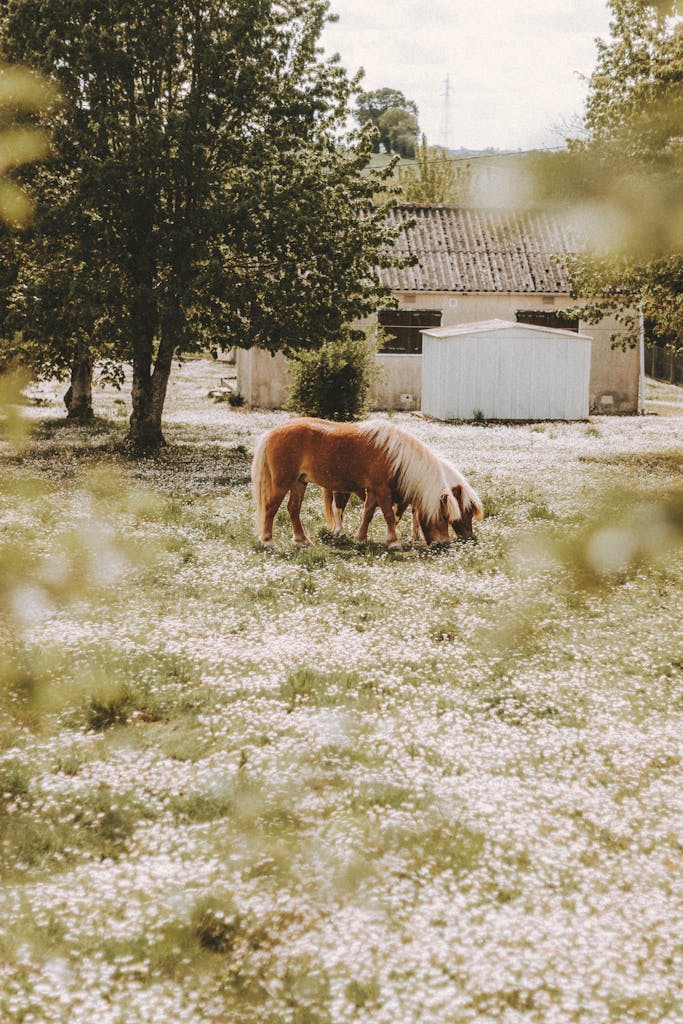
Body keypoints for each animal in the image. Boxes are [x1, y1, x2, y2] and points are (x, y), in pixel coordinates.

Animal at [251, 418, 461, 549]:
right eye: (444, 516)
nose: (444, 543)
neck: (394, 453)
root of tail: (271, 433)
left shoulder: (374, 491)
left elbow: (368, 514)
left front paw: (361, 538)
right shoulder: (382, 490)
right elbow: (388, 515)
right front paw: (393, 542)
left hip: (299, 483)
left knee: (293, 509)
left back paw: (302, 540)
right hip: (282, 483)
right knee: (271, 507)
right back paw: (269, 541)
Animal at [324, 455, 484, 543]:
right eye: (466, 512)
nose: (470, 538)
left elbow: (415, 516)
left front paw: (416, 536)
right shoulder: (403, 501)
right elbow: (396, 517)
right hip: (340, 491)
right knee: (337, 509)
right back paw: (340, 533)